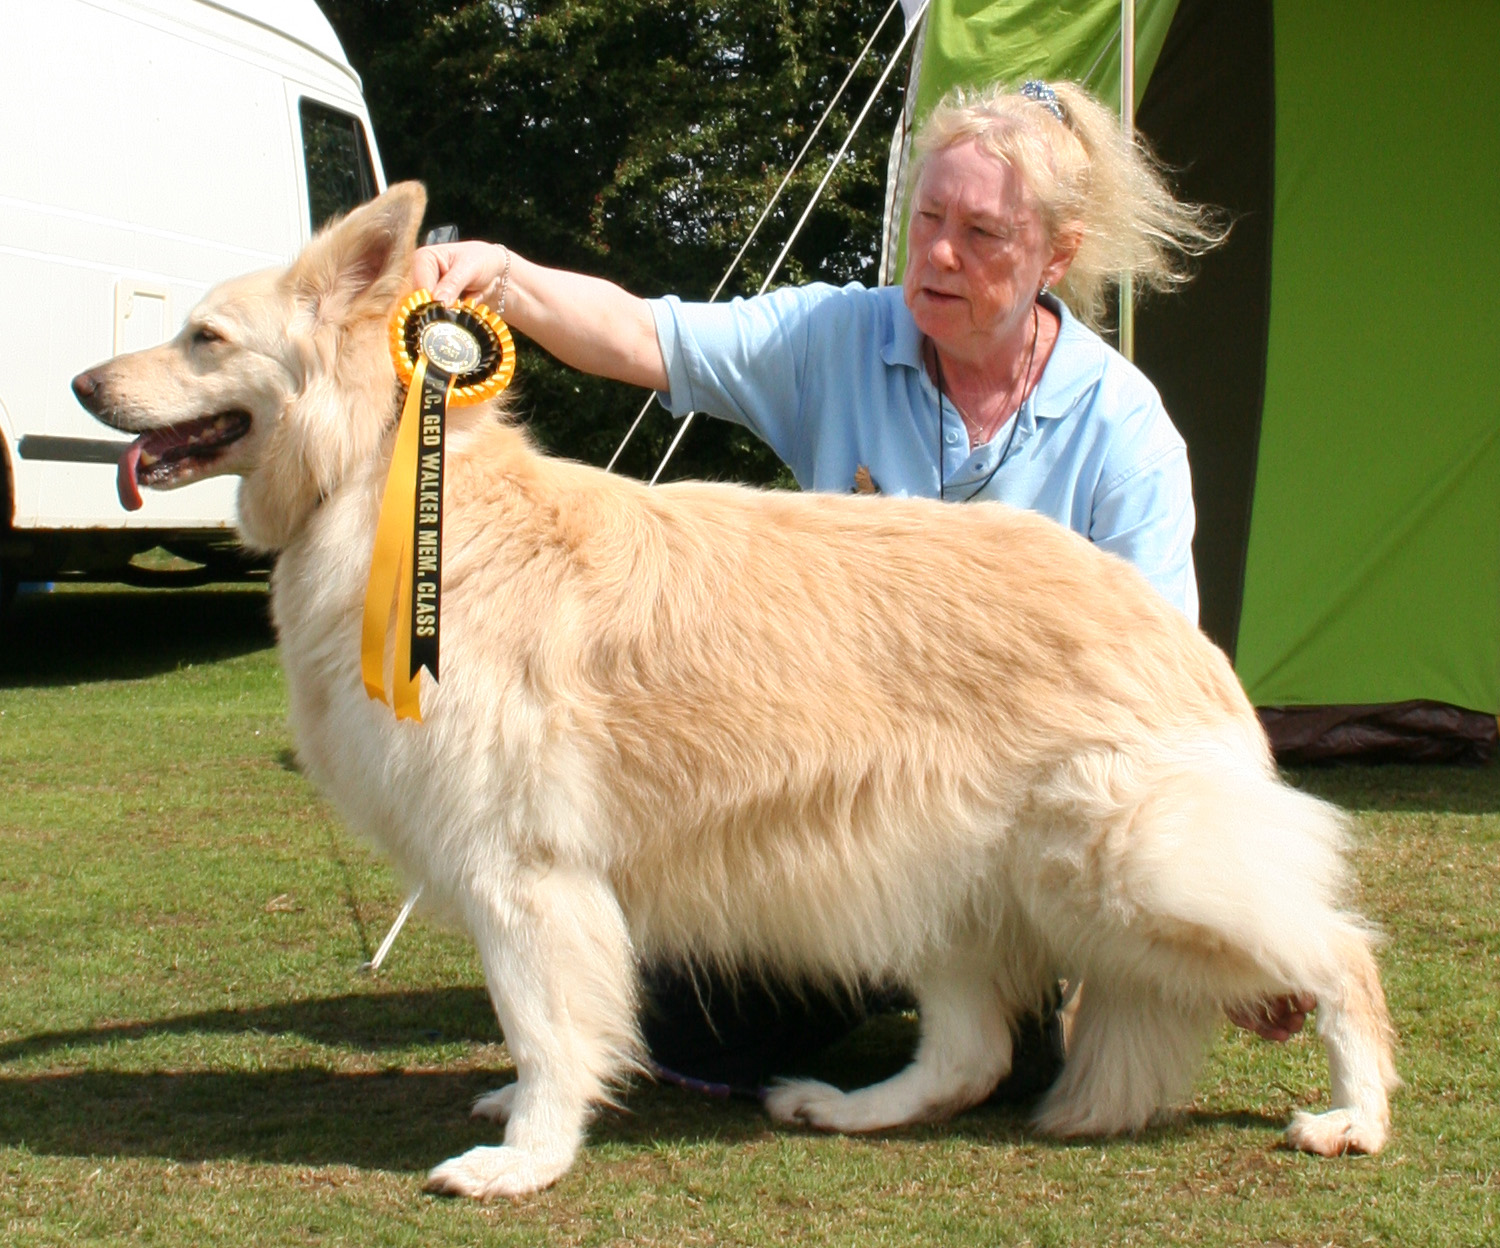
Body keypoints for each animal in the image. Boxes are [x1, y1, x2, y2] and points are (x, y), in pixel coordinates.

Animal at [76, 187, 1398, 1200]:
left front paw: (526, 1160)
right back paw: (849, 1106)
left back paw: (1357, 1113)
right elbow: (544, 1028)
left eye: (203, 337)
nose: (86, 386)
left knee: (1338, 954)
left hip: (1124, 867)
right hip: (940, 880)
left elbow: (546, 1026)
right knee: (968, 1057)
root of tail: (1172, 626)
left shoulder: (524, 870)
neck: (385, 489)